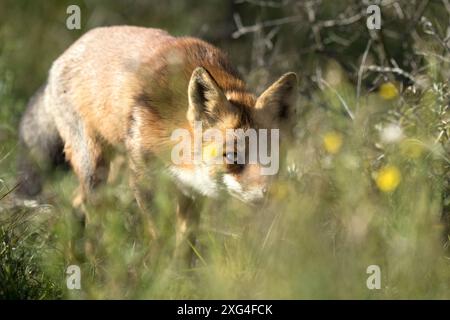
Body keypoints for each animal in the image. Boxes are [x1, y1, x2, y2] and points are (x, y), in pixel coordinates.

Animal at [17, 25, 298, 262]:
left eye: (273, 155)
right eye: (232, 157)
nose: (269, 194)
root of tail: (66, 53)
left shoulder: (191, 188)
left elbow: (186, 239)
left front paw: (181, 274)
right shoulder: (142, 179)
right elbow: (158, 235)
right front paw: (158, 270)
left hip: (114, 170)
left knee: (76, 204)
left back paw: (76, 258)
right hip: (96, 168)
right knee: (91, 212)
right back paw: (91, 263)